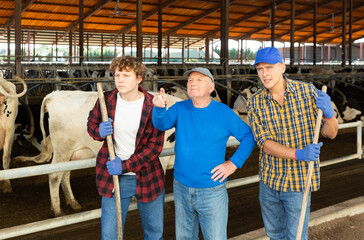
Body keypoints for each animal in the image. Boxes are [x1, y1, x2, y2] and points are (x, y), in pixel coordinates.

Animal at [13, 90, 182, 218]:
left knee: (65, 175)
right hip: (62, 150)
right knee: (54, 176)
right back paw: (57, 210)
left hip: (71, 153)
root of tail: (55, 94)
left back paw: (73, 202)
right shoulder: (161, 158)